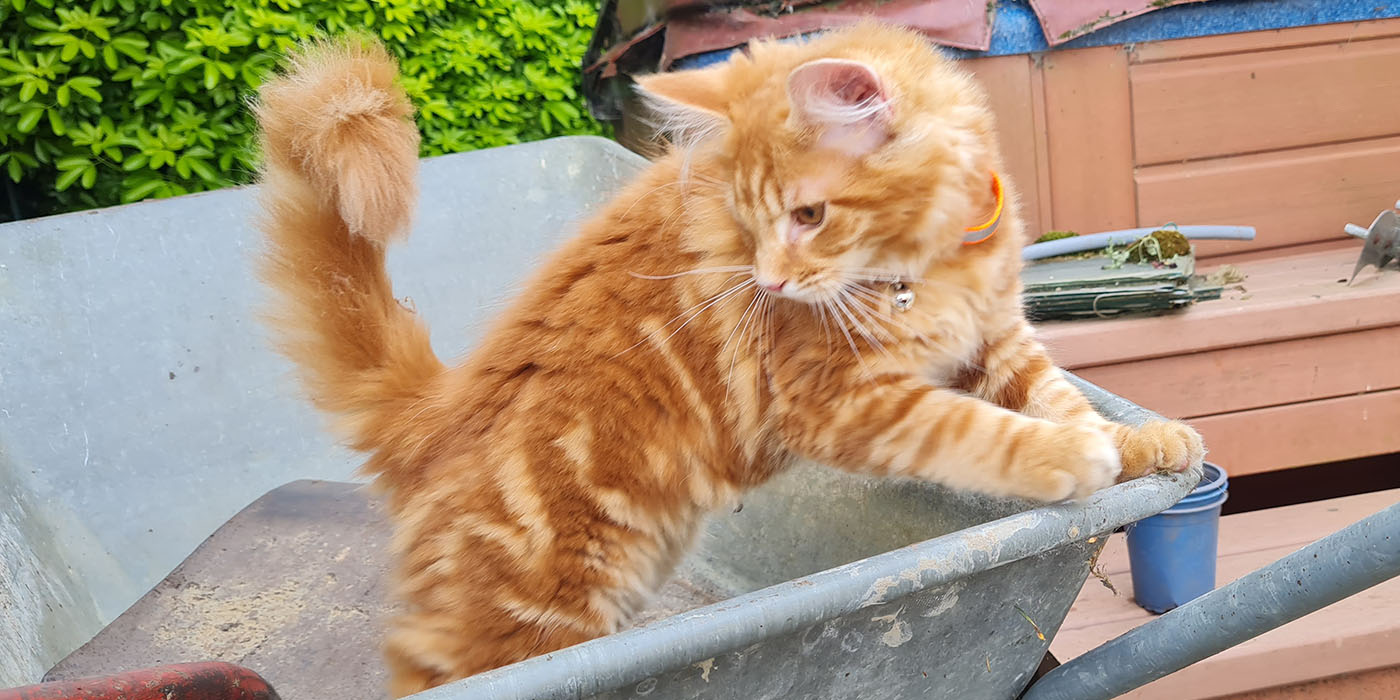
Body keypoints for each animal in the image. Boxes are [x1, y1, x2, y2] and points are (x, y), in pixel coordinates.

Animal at [249, 21, 1204, 694]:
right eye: (750, 223)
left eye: (809, 215)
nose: (771, 282)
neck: (935, 262)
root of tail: (437, 410)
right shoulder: (840, 400)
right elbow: (976, 430)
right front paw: (1068, 456)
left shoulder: (996, 339)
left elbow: (1053, 393)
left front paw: (1138, 444)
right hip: (527, 612)